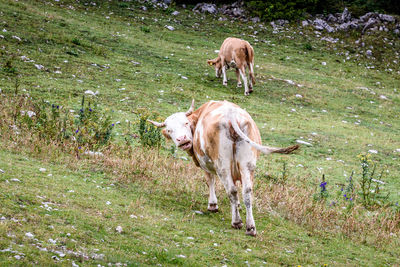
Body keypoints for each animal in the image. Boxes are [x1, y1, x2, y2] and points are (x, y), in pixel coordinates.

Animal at [148, 100, 298, 237]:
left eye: (185, 123)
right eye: (169, 130)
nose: (182, 139)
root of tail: (232, 116)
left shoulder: (206, 164)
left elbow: (210, 181)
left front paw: (213, 205)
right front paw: (237, 206)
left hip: (222, 165)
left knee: (232, 190)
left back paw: (237, 222)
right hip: (247, 164)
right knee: (247, 192)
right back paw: (250, 227)